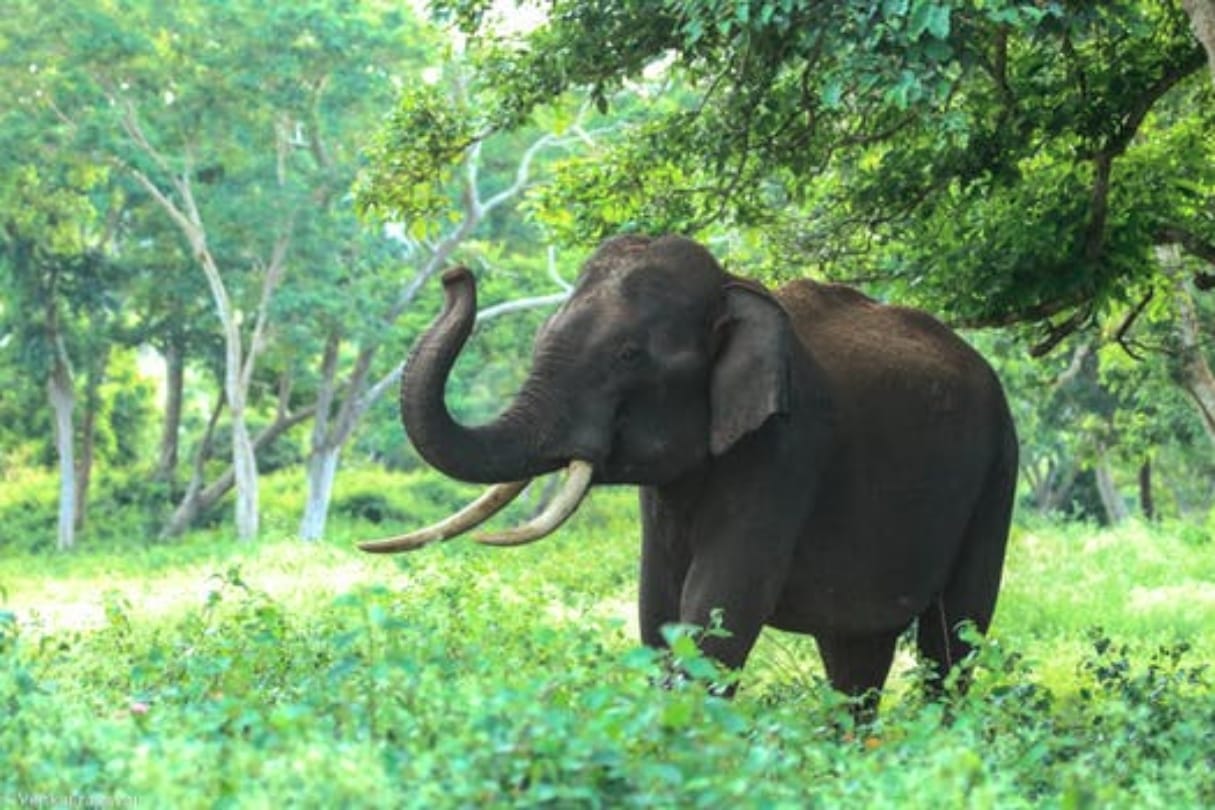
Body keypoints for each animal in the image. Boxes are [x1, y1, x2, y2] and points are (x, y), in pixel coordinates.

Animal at [361, 234, 1018, 710]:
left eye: (628, 355)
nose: (455, 275)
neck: (733, 286)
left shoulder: (786, 449)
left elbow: (719, 609)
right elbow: (659, 608)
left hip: (998, 470)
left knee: (953, 638)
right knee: (855, 655)